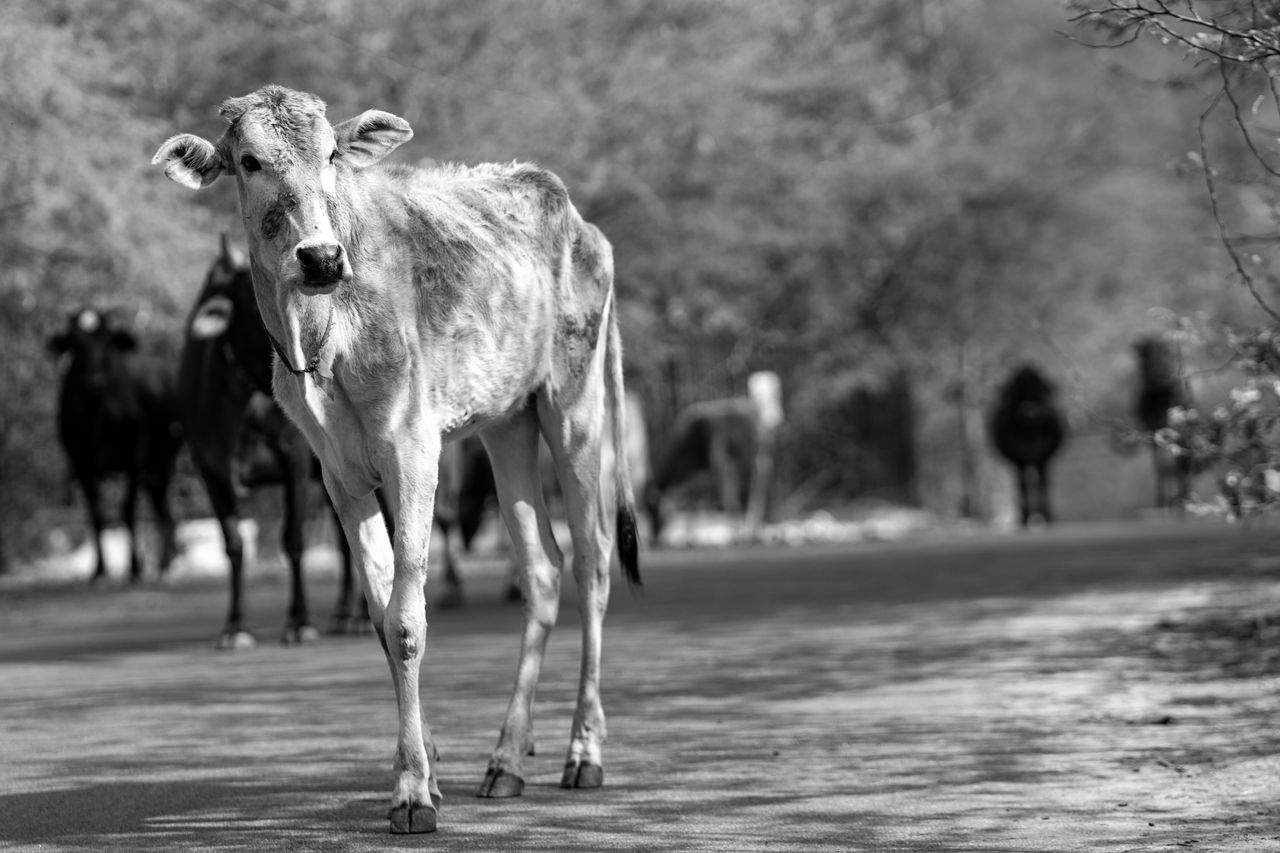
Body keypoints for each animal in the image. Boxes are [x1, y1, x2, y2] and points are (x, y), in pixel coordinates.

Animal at [47, 307, 182, 583]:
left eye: (108, 341)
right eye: (75, 343)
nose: (95, 380)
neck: (97, 411)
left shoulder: (134, 456)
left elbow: (127, 509)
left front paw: (134, 568)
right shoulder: (80, 461)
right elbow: (96, 513)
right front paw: (99, 570)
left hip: (163, 460)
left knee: (162, 509)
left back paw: (163, 564)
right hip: (152, 469)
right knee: (162, 508)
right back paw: (162, 563)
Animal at [153, 84, 640, 833]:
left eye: (332, 153)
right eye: (249, 160)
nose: (321, 258)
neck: (324, 337)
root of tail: (579, 221)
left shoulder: (413, 452)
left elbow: (408, 620)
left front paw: (412, 791)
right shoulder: (338, 475)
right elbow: (382, 615)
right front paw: (429, 769)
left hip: (574, 406)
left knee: (593, 564)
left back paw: (583, 751)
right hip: (509, 424)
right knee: (543, 570)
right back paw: (506, 759)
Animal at [645, 370, 782, 544]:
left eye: (653, 510)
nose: (653, 536)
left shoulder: (715, 462)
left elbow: (715, 500)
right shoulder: (698, 470)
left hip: (746, 457)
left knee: (752, 489)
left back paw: (747, 531)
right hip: (753, 457)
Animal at [988, 364, 1067, 528]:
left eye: (1043, 390)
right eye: (1014, 392)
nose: (1031, 412)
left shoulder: (1044, 458)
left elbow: (1043, 486)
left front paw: (1048, 518)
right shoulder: (1018, 460)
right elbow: (1023, 487)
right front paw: (1024, 519)